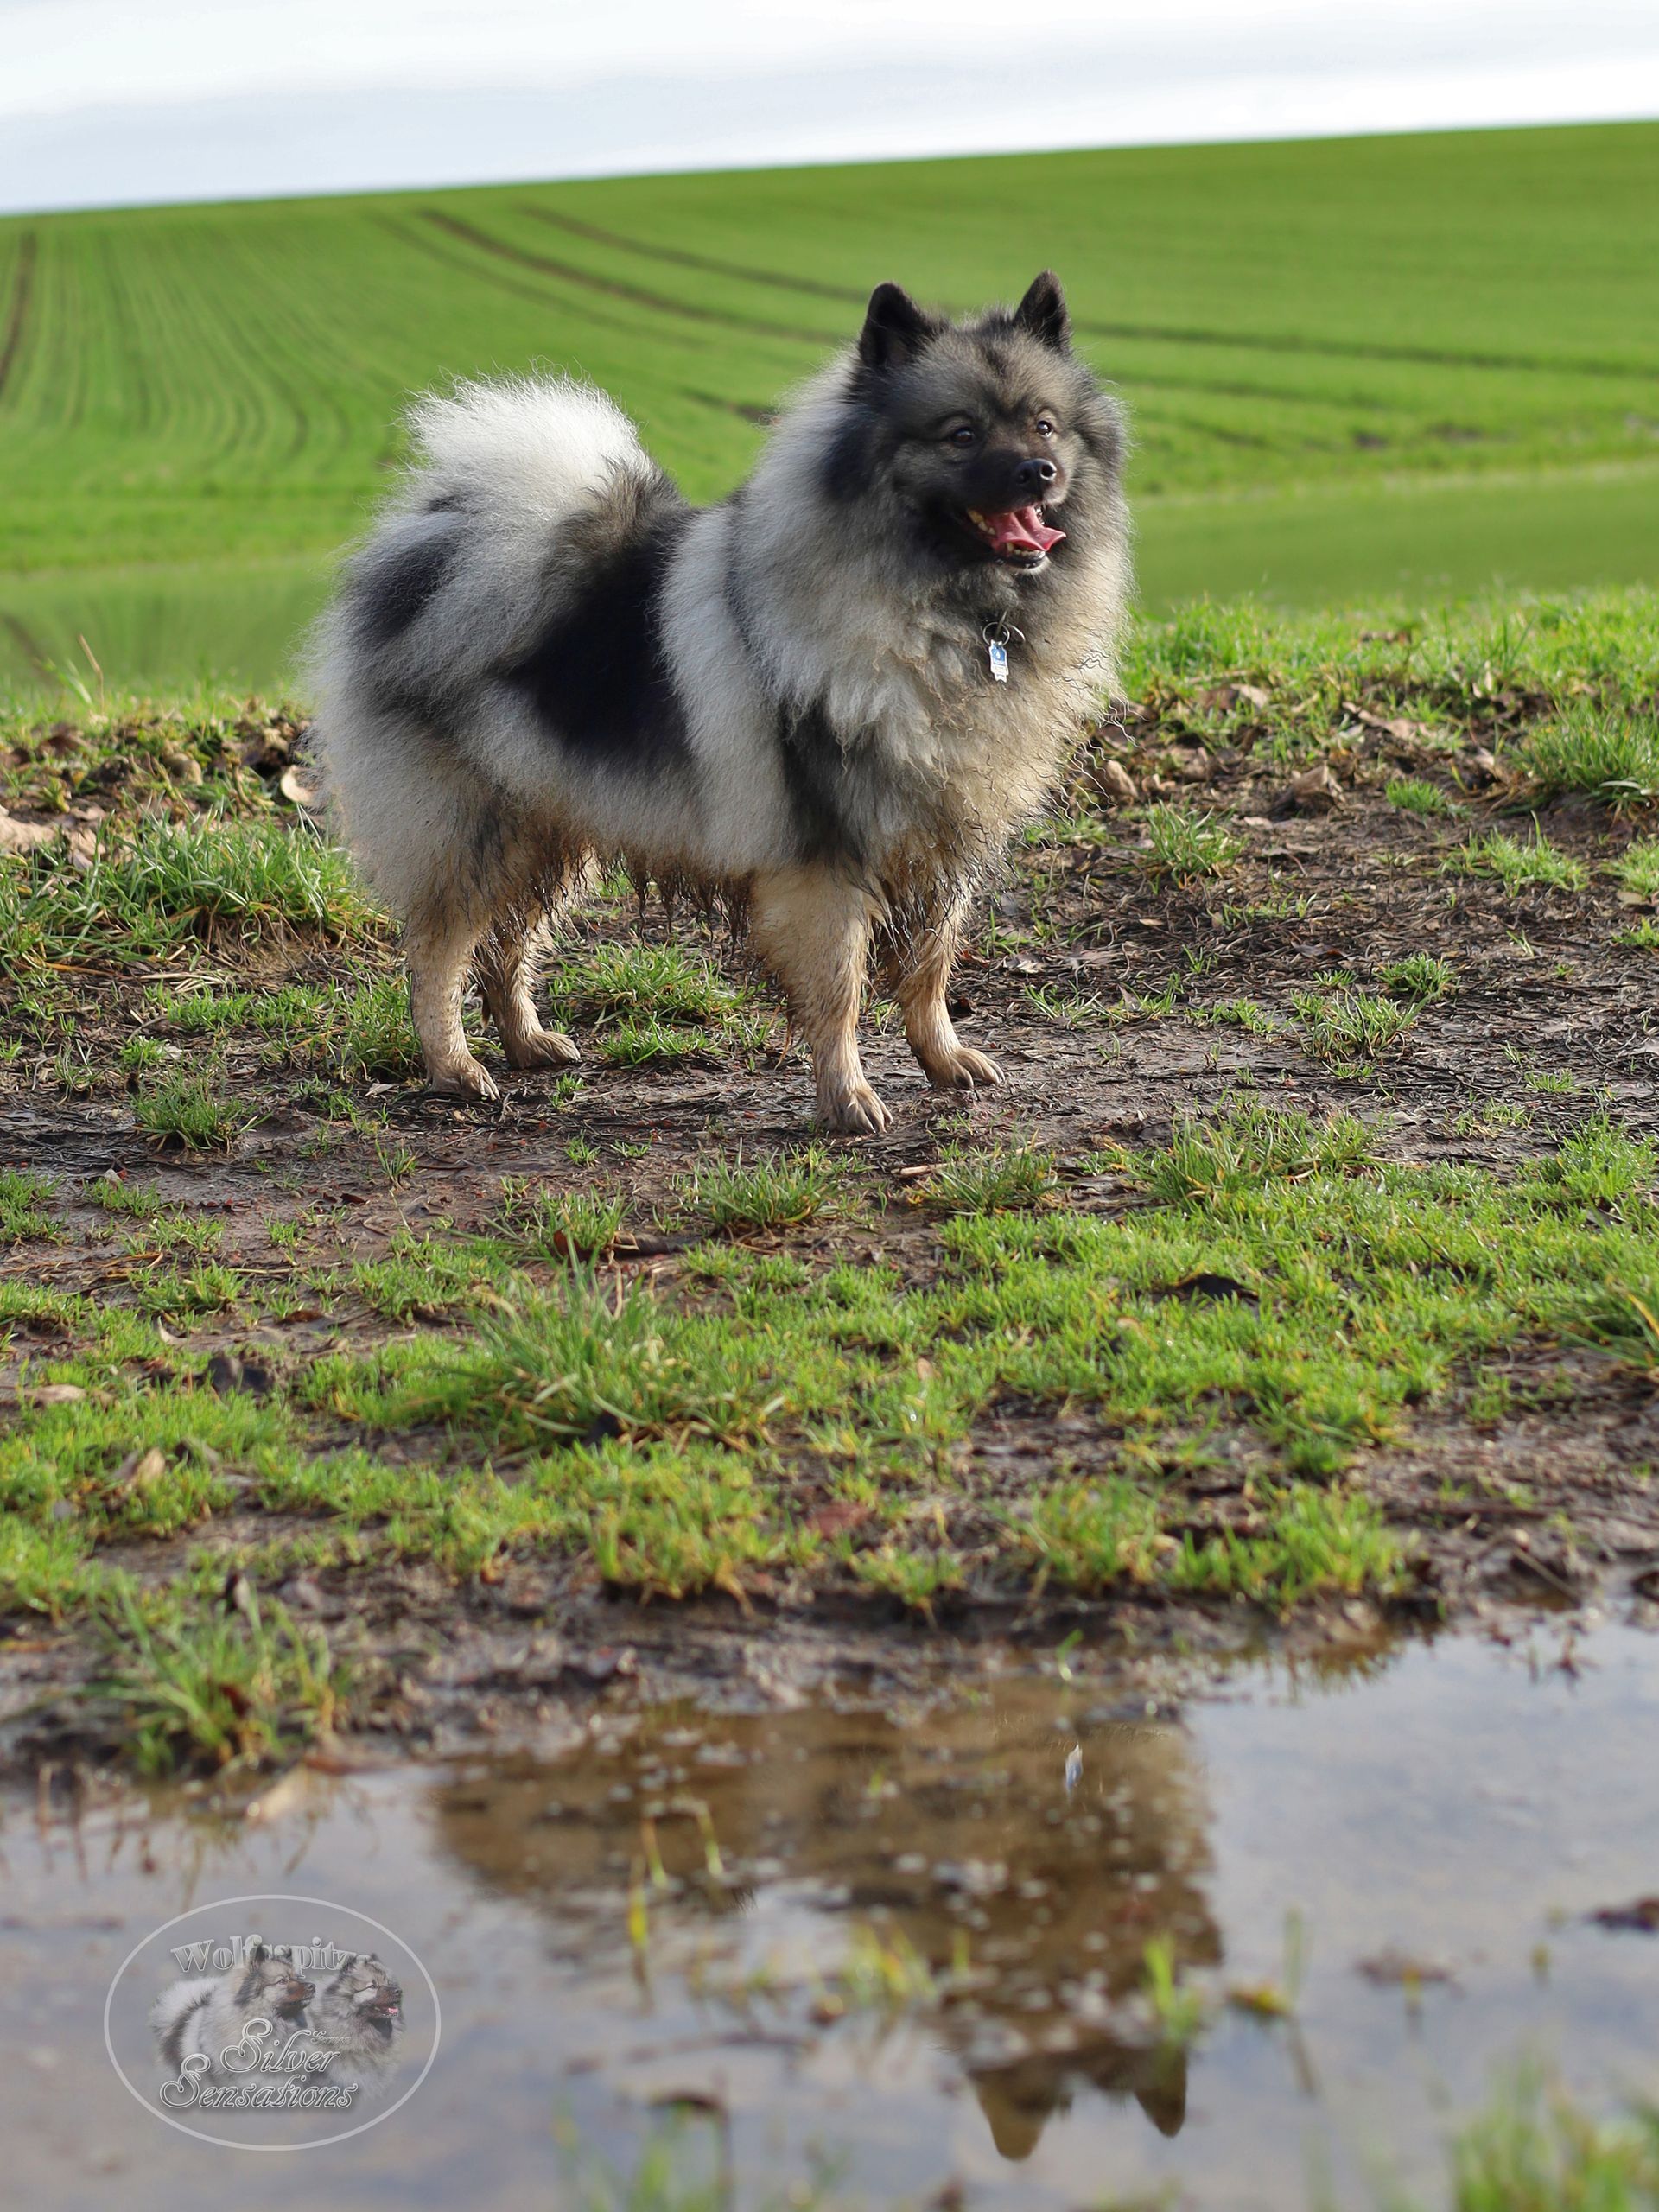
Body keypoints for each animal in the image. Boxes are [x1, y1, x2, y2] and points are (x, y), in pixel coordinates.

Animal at [308, 272, 1128, 1131]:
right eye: (961, 435)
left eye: (1045, 424)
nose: (1039, 469)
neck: (955, 620)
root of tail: (442, 554)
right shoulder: (826, 858)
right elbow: (840, 991)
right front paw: (850, 1099)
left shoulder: (940, 840)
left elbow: (929, 970)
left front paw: (944, 1060)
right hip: (475, 830)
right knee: (438, 953)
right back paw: (455, 1068)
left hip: (547, 825)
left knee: (507, 944)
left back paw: (528, 1043)